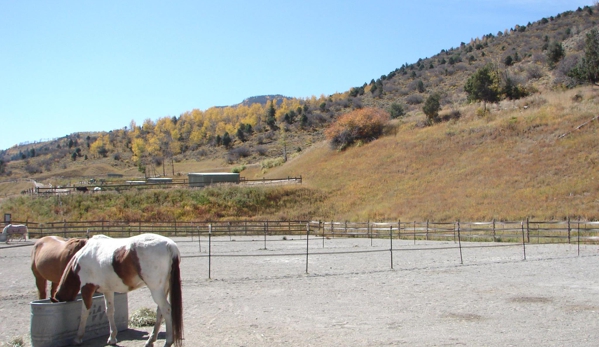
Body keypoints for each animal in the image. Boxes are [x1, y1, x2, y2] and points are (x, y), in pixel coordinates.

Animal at [52, 234, 184, 347]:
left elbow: (84, 313)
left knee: (166, 310)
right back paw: (150, 340)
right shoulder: (108, 291)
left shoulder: (86, 288)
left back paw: (168, 341)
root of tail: (169, 245)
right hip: (163, 289)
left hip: (156, 290)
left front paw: (78, 338)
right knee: (160, 311)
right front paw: (112, 338)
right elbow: (109, 311)